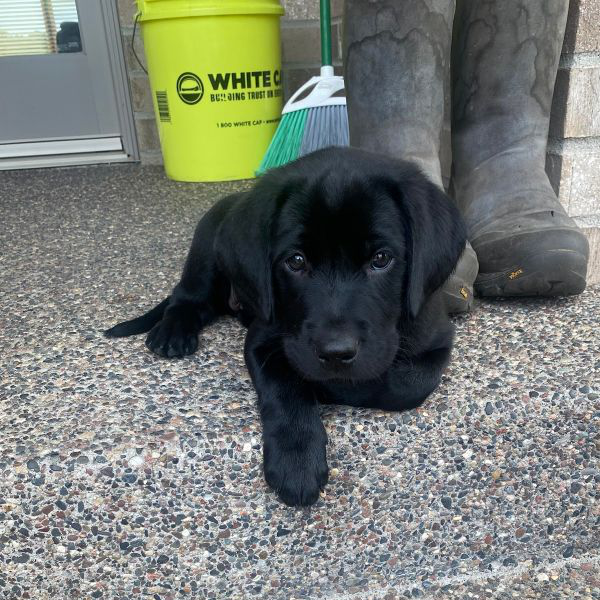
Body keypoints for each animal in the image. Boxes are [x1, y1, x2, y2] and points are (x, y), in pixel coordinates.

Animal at [105, 146, 466, 506]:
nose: (336, 353)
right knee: (188, 297)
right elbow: (284, 384)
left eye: (381, 259)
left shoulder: (436, 337)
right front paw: (297, 460)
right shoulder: (263, 339)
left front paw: (329, 388)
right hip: (205, 247)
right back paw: (172, 332)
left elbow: (405, 385)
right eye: (296, 261)